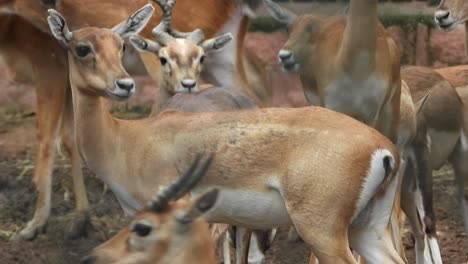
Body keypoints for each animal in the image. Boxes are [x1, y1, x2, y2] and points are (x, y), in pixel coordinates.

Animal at [0, 0, 270, 242]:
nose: (125, 84)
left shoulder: (48, 65)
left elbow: (47, 137)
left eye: (121, 46)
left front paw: (34, 226)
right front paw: (74, 222)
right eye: (82, 48)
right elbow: (65, 139)